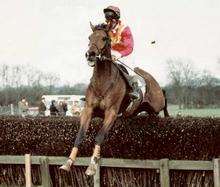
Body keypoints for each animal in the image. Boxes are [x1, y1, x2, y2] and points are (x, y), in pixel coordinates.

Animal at [59, 23, 169, 175]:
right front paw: (68, 163)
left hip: (157, 102)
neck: (102, 82)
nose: (90, 54)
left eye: (104, 38)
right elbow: (80, 135)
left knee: (163, 102)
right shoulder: (88, 109)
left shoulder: (111, 112)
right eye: (89, 37)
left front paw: (92, 166)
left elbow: (99, 136)